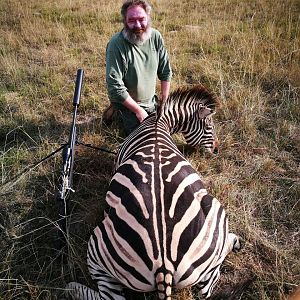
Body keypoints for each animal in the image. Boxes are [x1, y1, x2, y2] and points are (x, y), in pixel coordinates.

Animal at [65, 85, 241, 300]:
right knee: (206, 287)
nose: (216, 150)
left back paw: (70, 286)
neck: (158, 122)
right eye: (209, 127)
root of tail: (164, 267)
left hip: (97, 251)